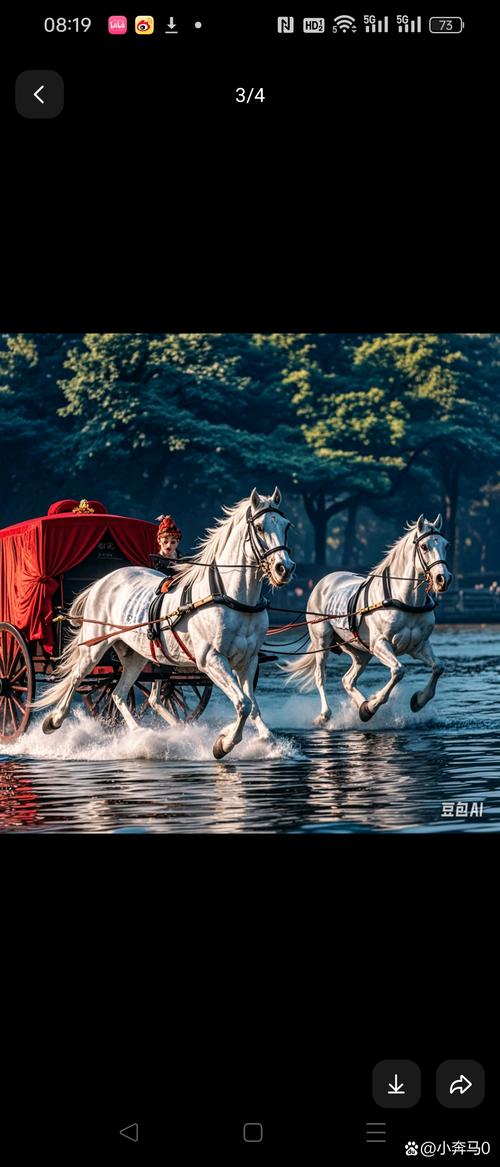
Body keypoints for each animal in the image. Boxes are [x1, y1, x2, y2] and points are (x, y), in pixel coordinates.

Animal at [32, 487, 296, 760]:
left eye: (286, 525)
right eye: (260, 527)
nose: (284, 568)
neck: (232, 598)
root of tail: (103, 580)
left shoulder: (248, 660)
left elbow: (251, 705)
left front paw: (265, 739)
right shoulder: (211, 659)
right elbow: (242, 703)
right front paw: (224, 743)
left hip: (135, 656)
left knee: (118, 693)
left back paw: (142, 735)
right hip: (94, 646)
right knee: (76, 678)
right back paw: (54, 720)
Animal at [285, 518, 453, 723]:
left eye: (446, 545)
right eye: (424, 546)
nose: (443, 579)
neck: (405, 601)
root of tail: (323, 582)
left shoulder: (418, 645)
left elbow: (438, 667)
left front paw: (418, 700)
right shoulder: (380, 644)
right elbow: (398, 671)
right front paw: (372, 704)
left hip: (360, 652)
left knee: (348, 680)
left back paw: (361, 706)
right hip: (322, 641)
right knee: (320, 676)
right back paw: (326, 714)